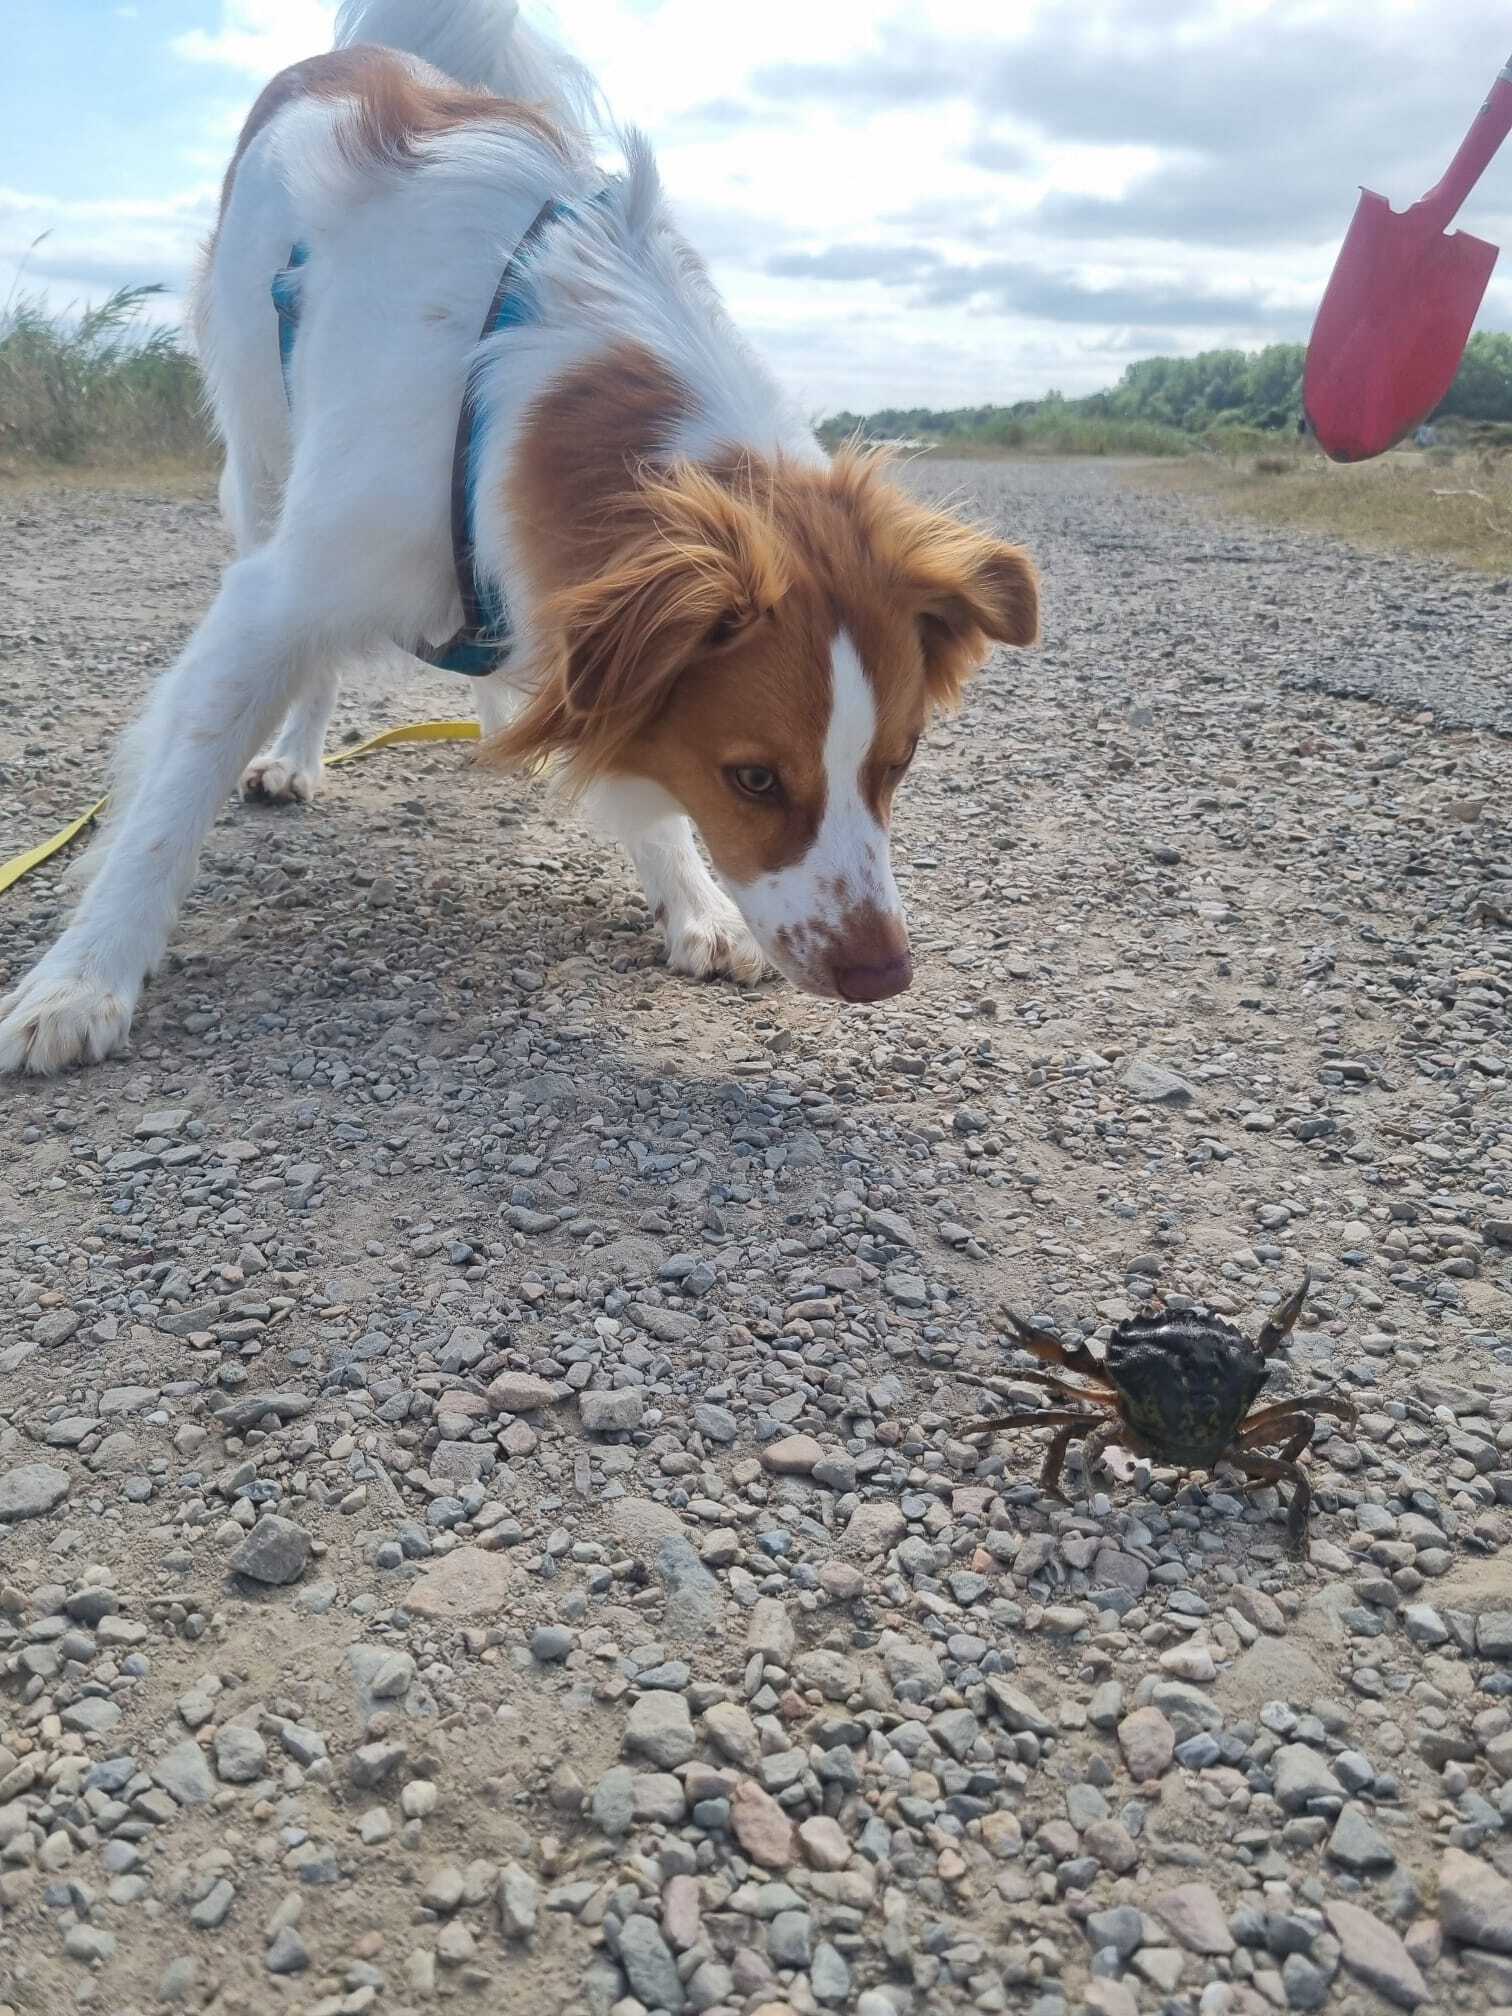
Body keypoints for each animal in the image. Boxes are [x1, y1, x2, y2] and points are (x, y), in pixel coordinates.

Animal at [0, 0, 1038, 1075]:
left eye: (899, 763)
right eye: (752, 777)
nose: (884, 977)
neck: (518, 392)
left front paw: (694, 905)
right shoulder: (288, 588)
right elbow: (169, 801)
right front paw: (84, 978)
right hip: (261, 461)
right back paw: (294, 757)